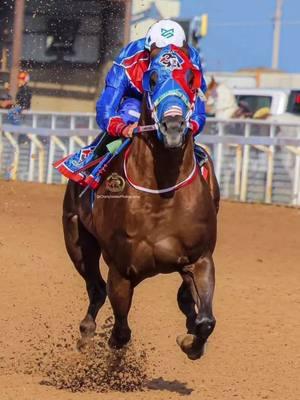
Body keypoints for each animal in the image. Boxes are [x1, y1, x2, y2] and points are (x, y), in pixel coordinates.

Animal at [62, 46, 219, 360]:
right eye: (153, 78)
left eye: (191, 78)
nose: (173, 126)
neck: (161, 197)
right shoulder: (122, 270)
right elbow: (121, 331)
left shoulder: (200, 259)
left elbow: (206, 320)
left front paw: (191, 342)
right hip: (76, 240)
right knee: (96, 288)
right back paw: (86, 335)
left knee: (185, 299)